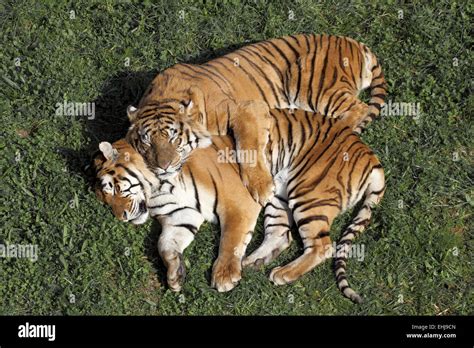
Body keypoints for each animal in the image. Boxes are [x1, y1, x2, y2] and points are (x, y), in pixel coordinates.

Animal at [90, 137, 262, 292]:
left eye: (115, 189)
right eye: (107, 203)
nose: (123, 217)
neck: (157, 188)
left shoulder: (238, 199)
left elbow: (231, 238)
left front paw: (224, 276)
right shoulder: (180, 214)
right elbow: (164, 243)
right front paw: (175, 271)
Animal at [127, 33, 388, 205]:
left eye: (174, 138)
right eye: (147, 141)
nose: (163, 166)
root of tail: (354, 43)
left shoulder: (248, 109)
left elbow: (248, 147)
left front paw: (262, 188)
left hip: (313, 85)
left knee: (359, 108)